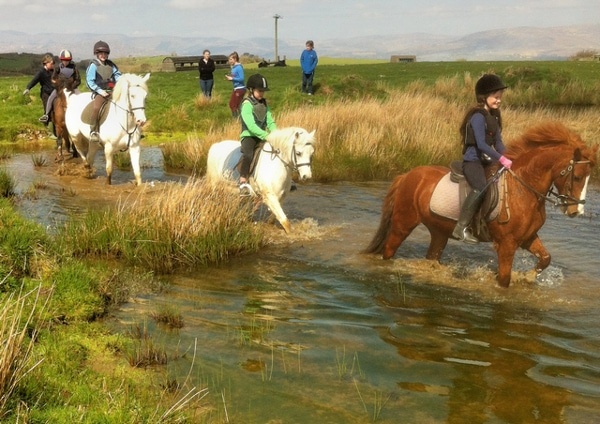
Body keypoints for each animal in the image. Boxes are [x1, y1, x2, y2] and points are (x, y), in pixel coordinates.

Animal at [364, 122, 596, 288]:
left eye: (587, 177)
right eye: (577, 177)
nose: (576, 211)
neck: (524, 188)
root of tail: (406, 175)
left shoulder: (528, 237)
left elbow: (546, 259)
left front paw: (528, 277)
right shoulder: (507, 244)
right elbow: (504, 280)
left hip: (439, 231)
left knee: (432, 256)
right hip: (403, 224)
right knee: (388, 251)